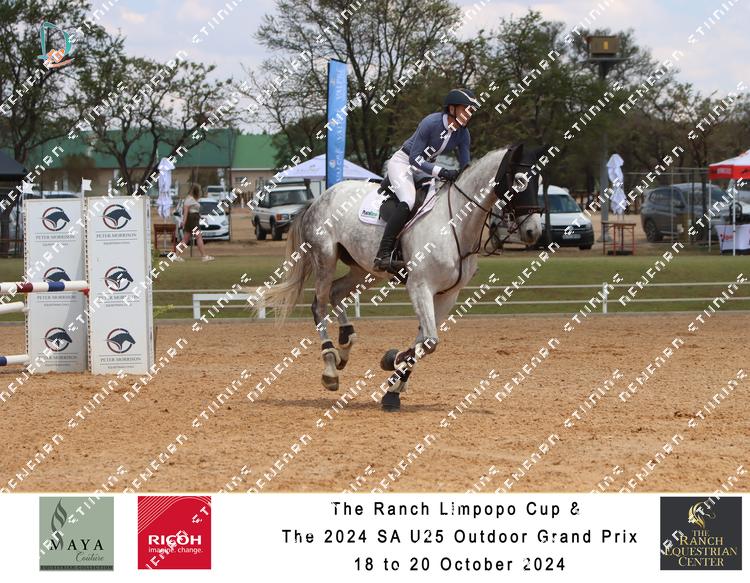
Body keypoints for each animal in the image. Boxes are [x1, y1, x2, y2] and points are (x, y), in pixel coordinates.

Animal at [260, 143, 548, 411]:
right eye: (520, 180)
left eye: (540, 180)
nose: (534, 232)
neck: (456, 221)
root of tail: (321, 198)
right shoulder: (420, 287)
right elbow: (429, 342)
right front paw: (391, 362)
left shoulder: (447, 295)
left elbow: (423, 342)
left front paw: (394, 385)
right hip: (325, 258)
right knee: (319, 304)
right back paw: (331, 366)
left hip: (364, 269)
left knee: (336, 292)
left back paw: (345, 346)